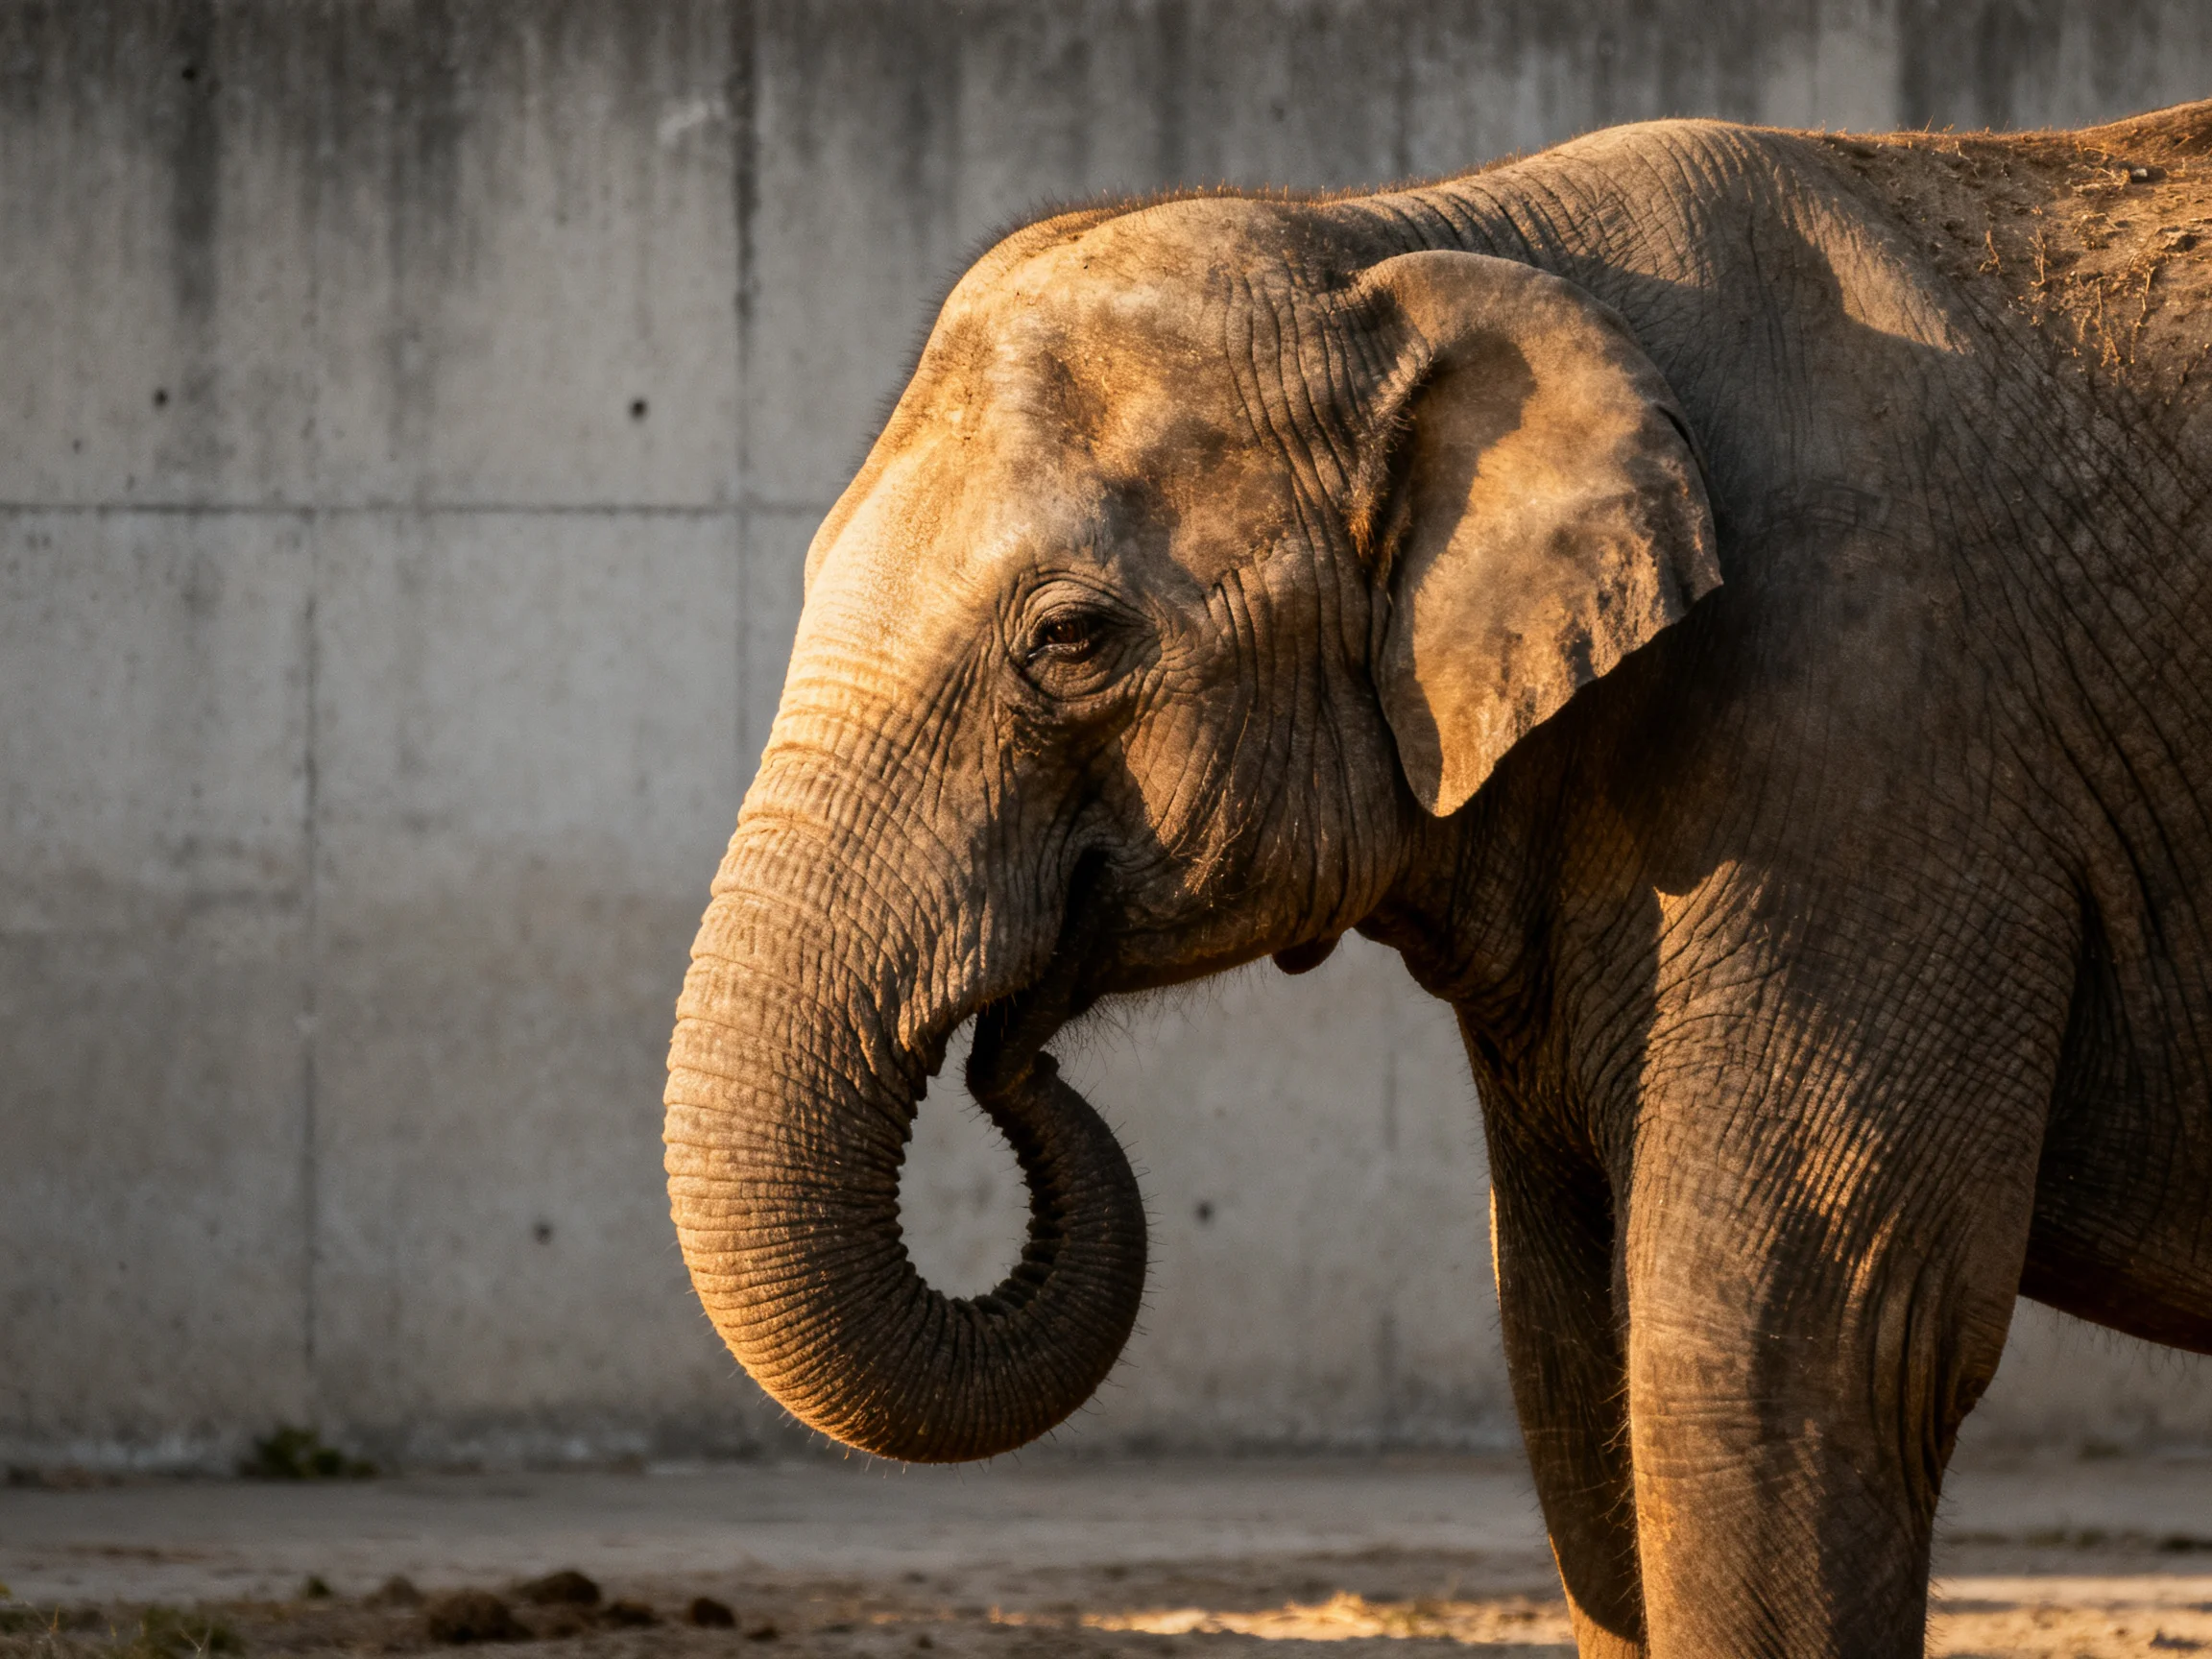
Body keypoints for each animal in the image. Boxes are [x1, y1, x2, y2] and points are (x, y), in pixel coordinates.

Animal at [665, 97, 2212, 1657]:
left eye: (1071, 638)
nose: (1013, 1054)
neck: (1406, 237)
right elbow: (1566, 1352)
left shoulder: (1871, 735)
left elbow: (1798, 1335)